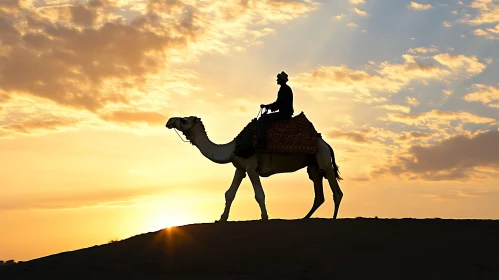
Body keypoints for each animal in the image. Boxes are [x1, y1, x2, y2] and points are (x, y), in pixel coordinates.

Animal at [165, 115, 344, 222]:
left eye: (185, 120)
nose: (169, 121)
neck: (231, 149)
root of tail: (326, 144)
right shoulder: (240, 168)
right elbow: (229, 194)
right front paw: (221, 218)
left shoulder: (251, 166)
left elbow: (259, 194)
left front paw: (264, 217)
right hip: (313, 165)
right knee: (319, 193)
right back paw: (304, 218)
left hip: (323, 158)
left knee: (337, 191)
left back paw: (333, 219)